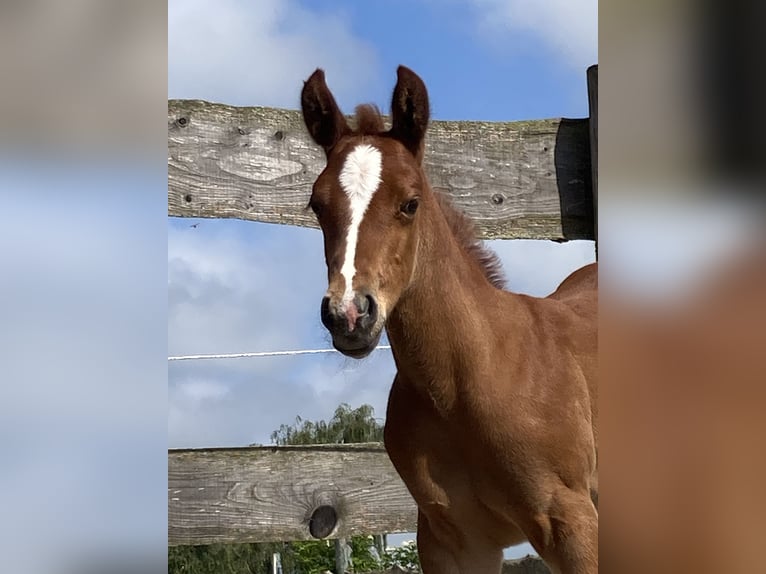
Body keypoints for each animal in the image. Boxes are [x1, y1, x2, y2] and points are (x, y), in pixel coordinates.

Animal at [300, 67, 600, 574]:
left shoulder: (572, 522)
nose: (349, 314)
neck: (462, 383)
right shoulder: (451, 540)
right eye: (317, 205)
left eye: (410, 203)